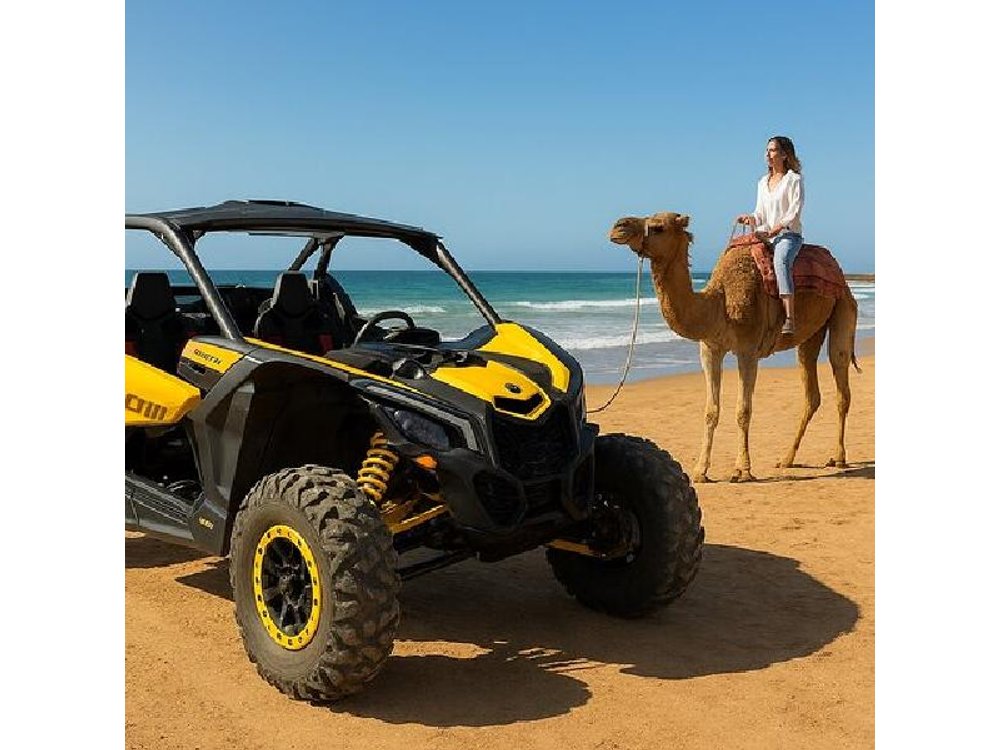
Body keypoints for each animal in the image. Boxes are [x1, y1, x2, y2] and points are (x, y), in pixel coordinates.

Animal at [609, 212, 859, 482]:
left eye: (658, 227)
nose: (618, 227)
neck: (720, 303)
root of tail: (840, 273)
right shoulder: (710, 349)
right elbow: (711, 411)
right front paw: (700, 471)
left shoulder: (748, 351)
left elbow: (743, 411)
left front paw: (743, 470)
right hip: (811, 333)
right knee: (810, 389)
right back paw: (786, 459)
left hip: (843, 307)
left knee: (841, 379)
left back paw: (838, 457)